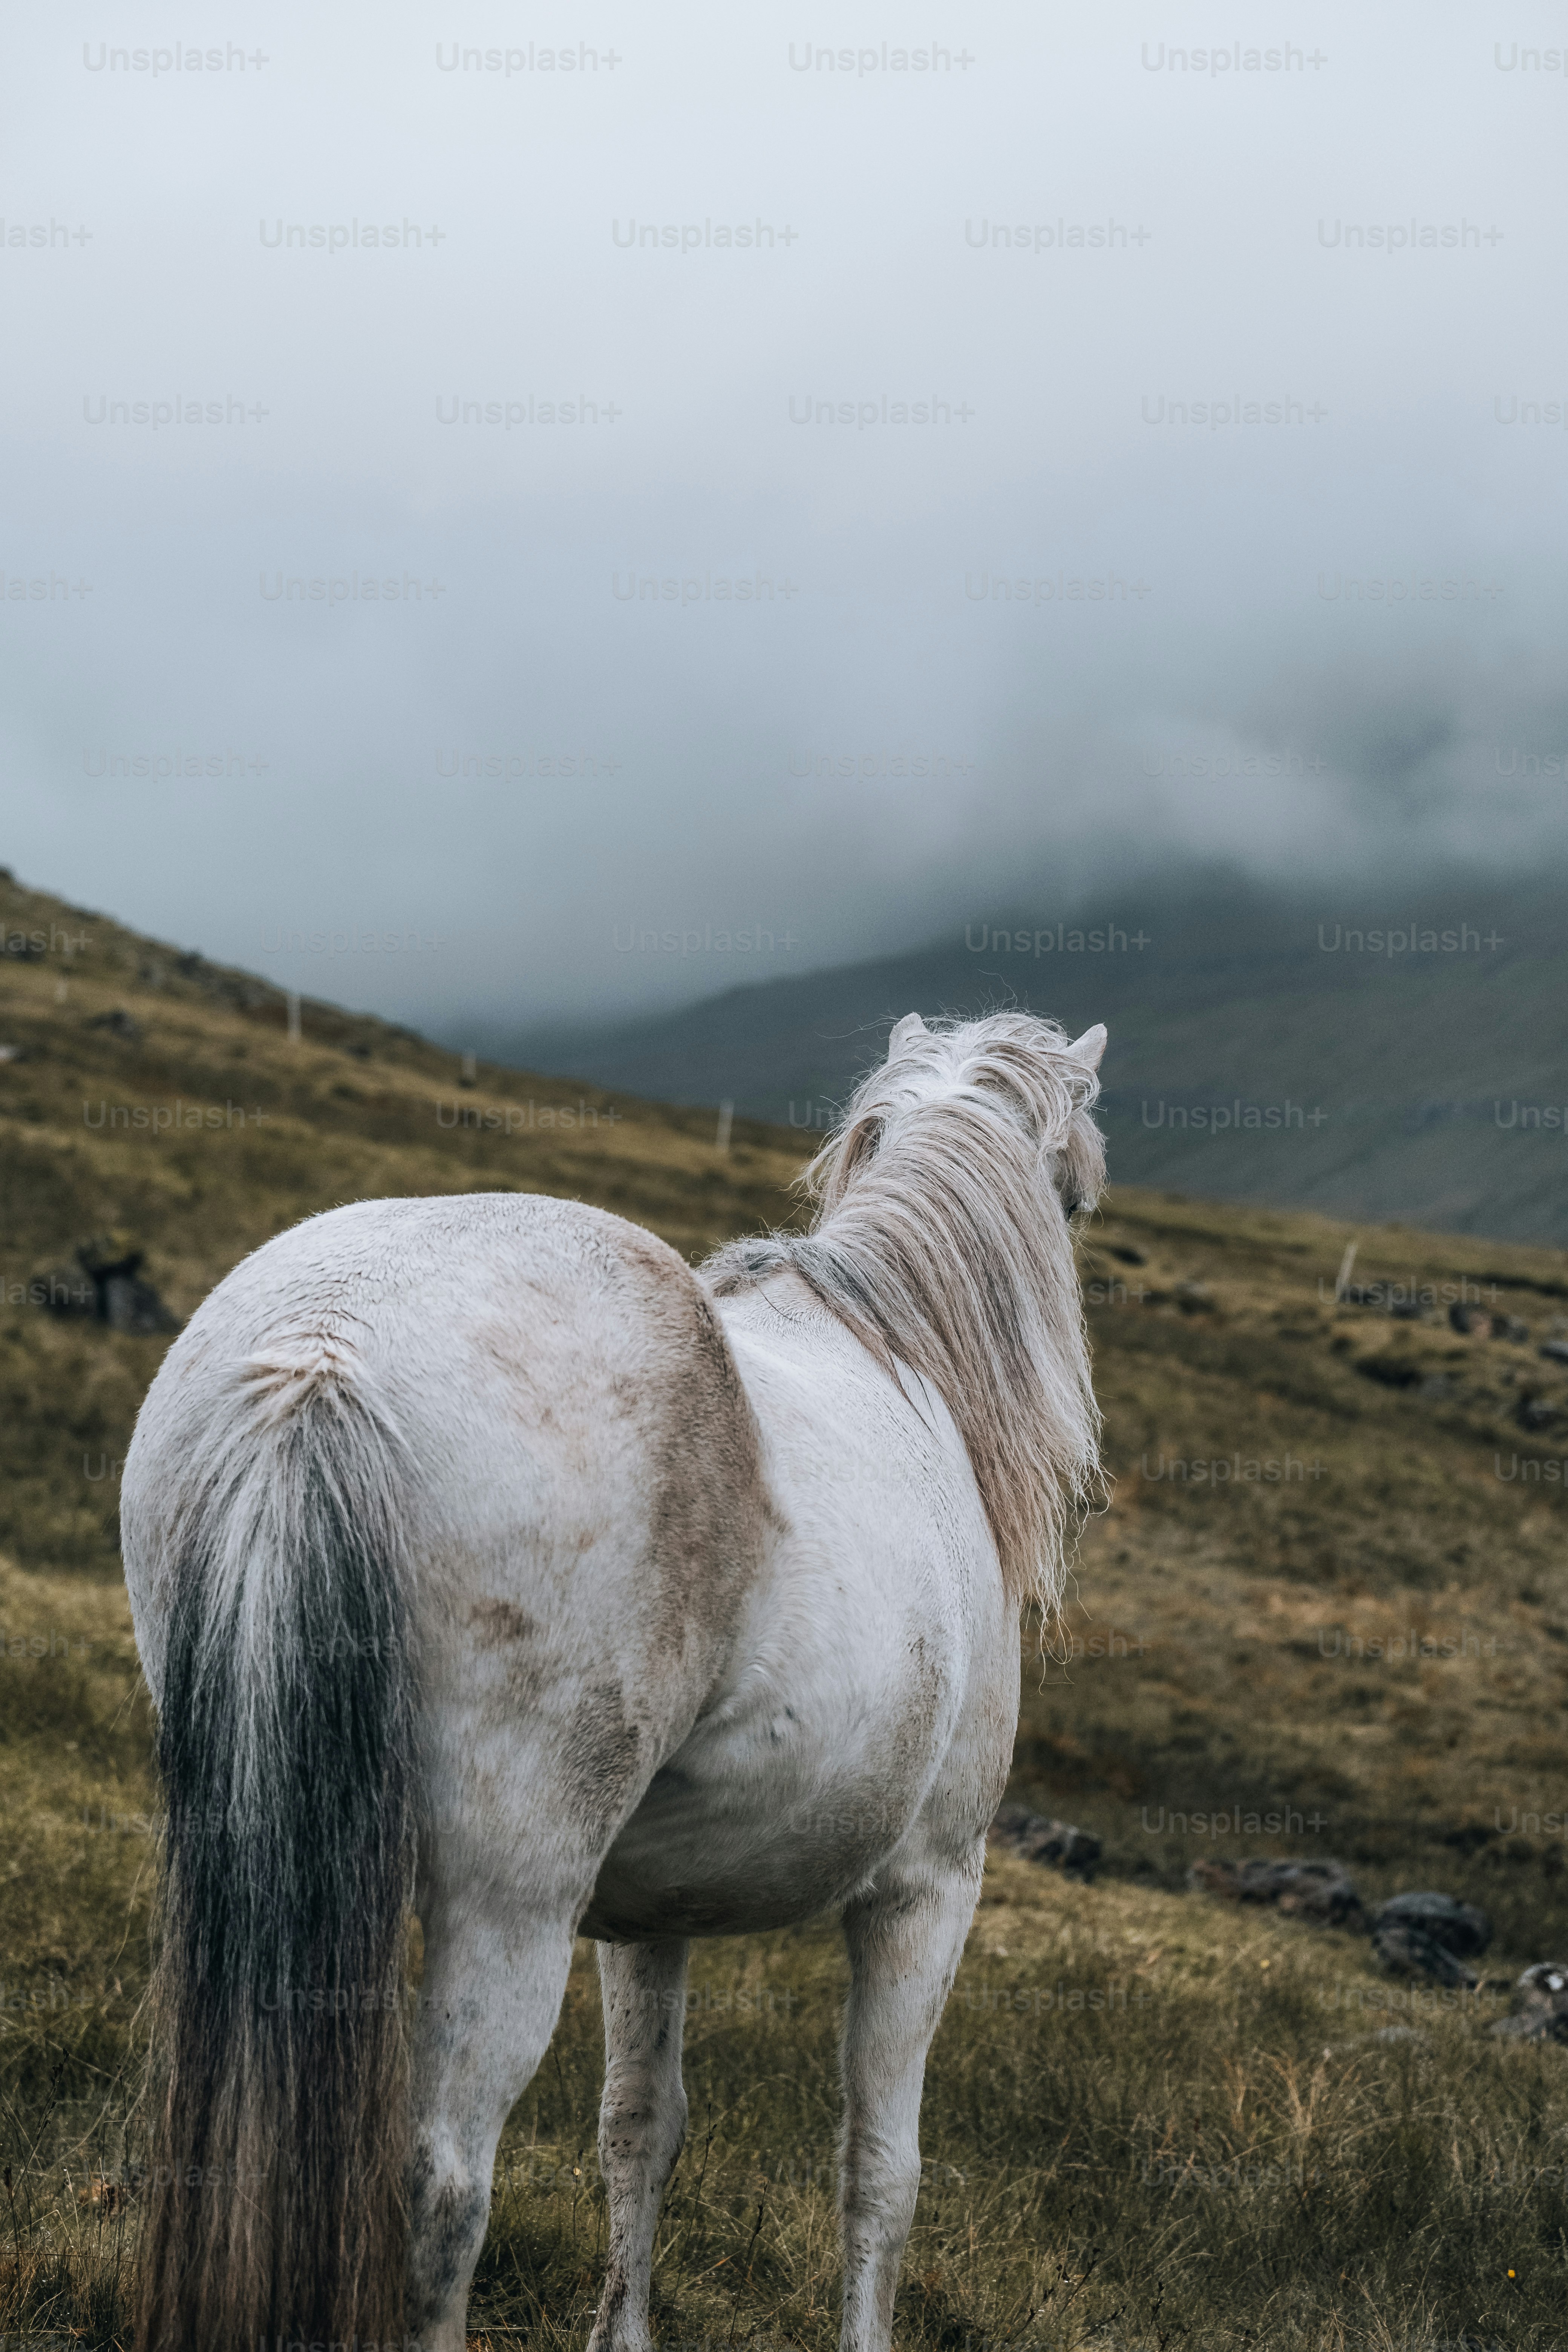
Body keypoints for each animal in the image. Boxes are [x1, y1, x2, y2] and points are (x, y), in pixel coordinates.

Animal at [120, 1007, 1107, 2352]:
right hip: (510, 1900)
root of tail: (328, 1351)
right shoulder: (927, 1889)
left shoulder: (652, 1913)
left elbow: (642, 2128)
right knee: (442, 2184)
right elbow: (880, 2170)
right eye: (1078, 1191)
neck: (908, 1370)